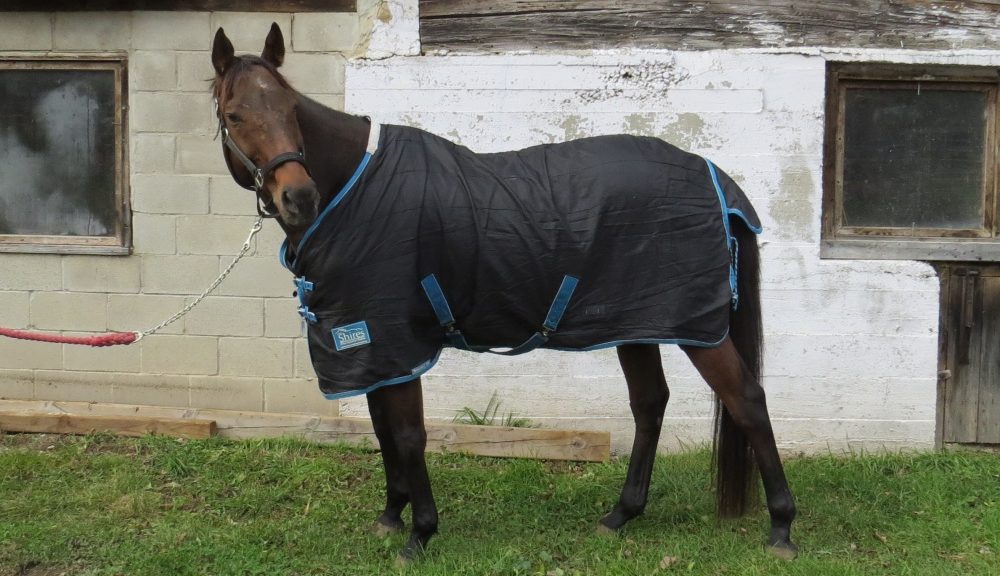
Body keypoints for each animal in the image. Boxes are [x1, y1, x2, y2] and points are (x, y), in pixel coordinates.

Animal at [210, 23, 797, 562]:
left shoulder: (392, 339)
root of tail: (714, 174)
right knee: (650, 404)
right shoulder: (371, 348)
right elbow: (381, 430)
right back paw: (621, 515)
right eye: (235, 114)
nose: (298, 198)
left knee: (747, 401)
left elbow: (408, 434)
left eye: (290, 107)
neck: (355, 188)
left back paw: (782, 529)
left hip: (695, 330)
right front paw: (391, 515)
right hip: (634, 322)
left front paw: (420, 535)